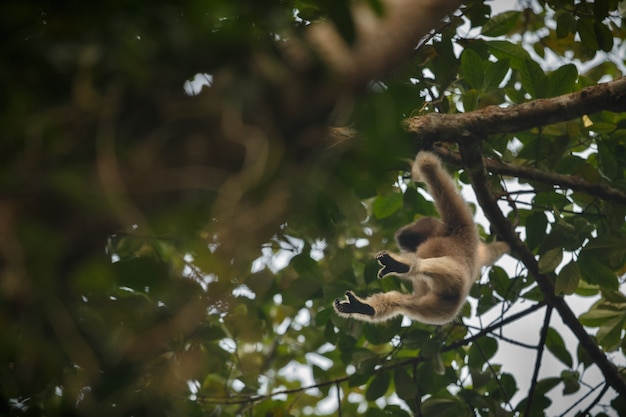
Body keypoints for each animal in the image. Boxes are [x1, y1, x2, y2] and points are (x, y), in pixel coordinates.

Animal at [332, 151, 508, 324]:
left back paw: (403, 266)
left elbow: (427, 164)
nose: (406, 234)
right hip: (439, 308)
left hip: (457, 278)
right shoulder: (472, 239)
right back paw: (364, 307)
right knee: (403, 301)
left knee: (436, 268)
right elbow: (497, 249)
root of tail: (457, 300)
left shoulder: (459, 219)